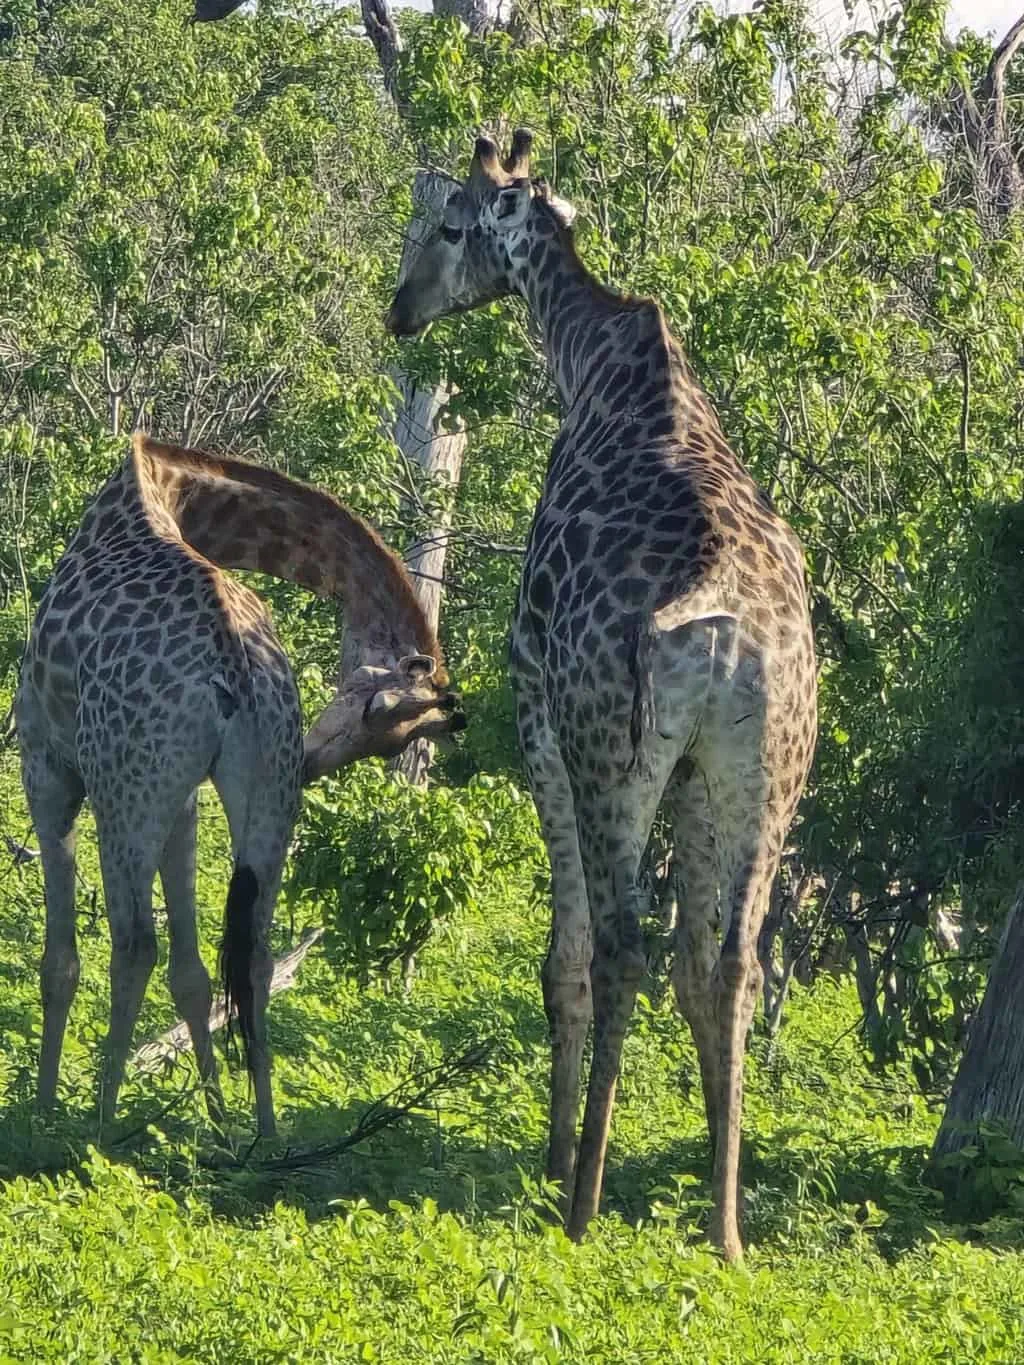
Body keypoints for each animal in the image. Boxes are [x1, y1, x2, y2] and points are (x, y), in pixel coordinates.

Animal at [16, 432, 463, 1135]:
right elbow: (194, 972)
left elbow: (60, 962)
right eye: (386, 727)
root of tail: (236, 666)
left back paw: (103, 1121)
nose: (311, 764)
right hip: (257, 792)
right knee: (253, 954)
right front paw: (218, 1115)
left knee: (133, 943)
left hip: (123, 780)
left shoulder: (45, 758)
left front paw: (41, 1110)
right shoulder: (187, 793)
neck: (172, 490)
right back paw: (264, 1132)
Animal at [386, 130, 817, 1261]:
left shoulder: (532, 694)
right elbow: (696, 964)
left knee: (623, 943)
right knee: (731, 961)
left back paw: (581, 1203)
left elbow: (564, 956)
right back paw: (725, 1228)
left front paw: (551, 1157)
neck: (590, 363)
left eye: (451, 221)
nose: (400, 308)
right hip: (760, 772)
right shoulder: (697, 773)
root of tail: (725, 636)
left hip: (608, 752)